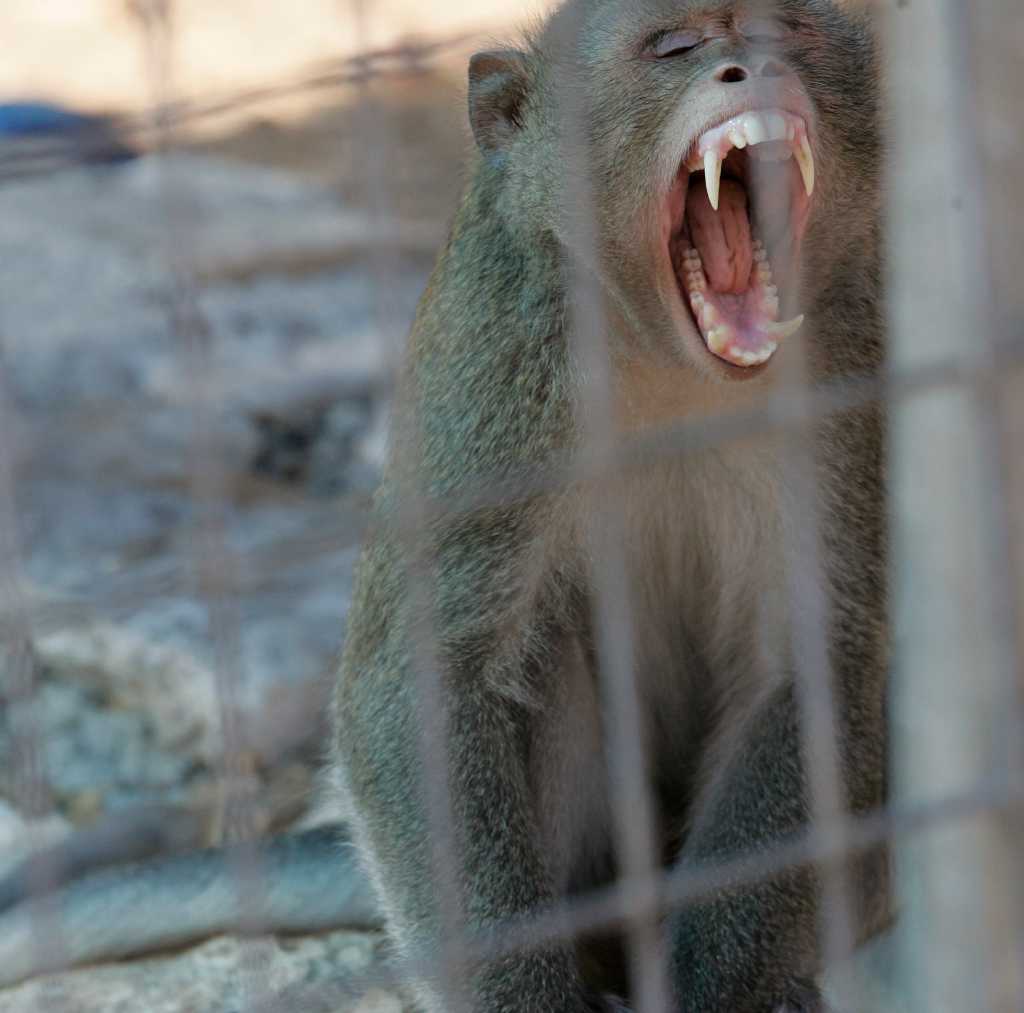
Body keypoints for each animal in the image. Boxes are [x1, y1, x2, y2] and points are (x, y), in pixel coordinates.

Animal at [331, 0, 889, 1011]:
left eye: (789, 28)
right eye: (675, 47)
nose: (753, 66)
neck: (668, 355)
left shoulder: (848, 344)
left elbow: (813, 661)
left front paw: (720, 988)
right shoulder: (499, 342)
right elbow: (421, 677)